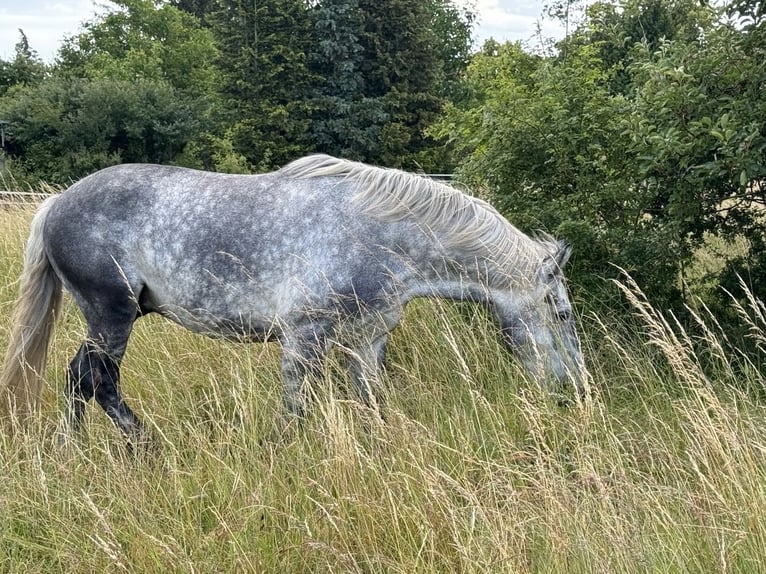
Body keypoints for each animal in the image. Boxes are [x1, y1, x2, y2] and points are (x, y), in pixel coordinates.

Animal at [1, 155, 588, 444]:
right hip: (112, 314)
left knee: (81, 381)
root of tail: (57, 203)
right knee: (93, 380)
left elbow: (371, 401)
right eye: (561, 313)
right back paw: (141, 446)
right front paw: (281, 453)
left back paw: (79, 451)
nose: (575, 392)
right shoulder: (304, 337)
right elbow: (295, 407)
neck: (378, 234)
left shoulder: (367, 337)